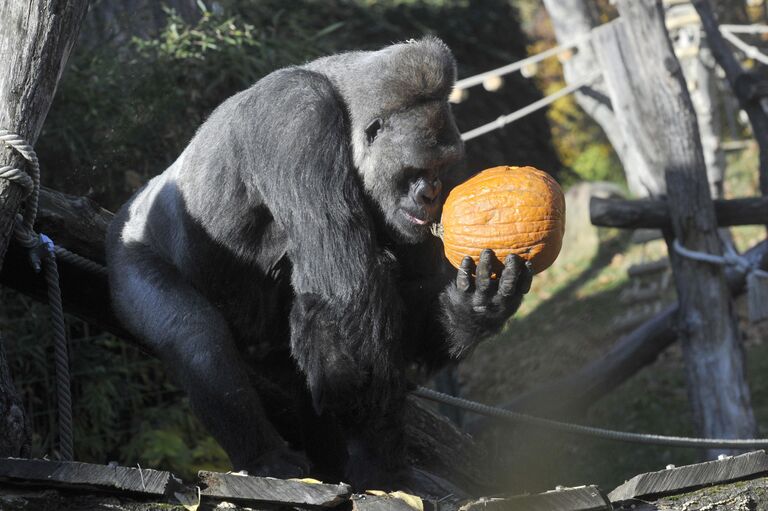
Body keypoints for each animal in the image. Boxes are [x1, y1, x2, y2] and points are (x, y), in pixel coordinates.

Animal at [105, 37, 532, 492]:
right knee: (194, 333)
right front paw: (380, 463)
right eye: (418, 168)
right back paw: (267, 457)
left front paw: (477, 307)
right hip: (127, 250)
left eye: (442, 168)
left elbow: (408, 313)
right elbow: (346, 293)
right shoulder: (298, 117)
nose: (431, 194)